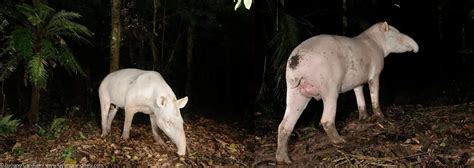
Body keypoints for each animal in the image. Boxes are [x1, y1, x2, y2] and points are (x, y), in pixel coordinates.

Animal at [276, 21, 416, 163]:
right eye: (397, 36)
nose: (415, 49)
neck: (377, 40)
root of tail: (296, 62)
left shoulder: (357, 80)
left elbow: (359, 95)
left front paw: (364, 118)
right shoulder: (375, 72)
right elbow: (374, 94)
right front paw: (380, 117)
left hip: (294, 88)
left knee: (285, 124)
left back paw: (283, 159)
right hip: (327, 83)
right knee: (326, 118)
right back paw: (339, 141)